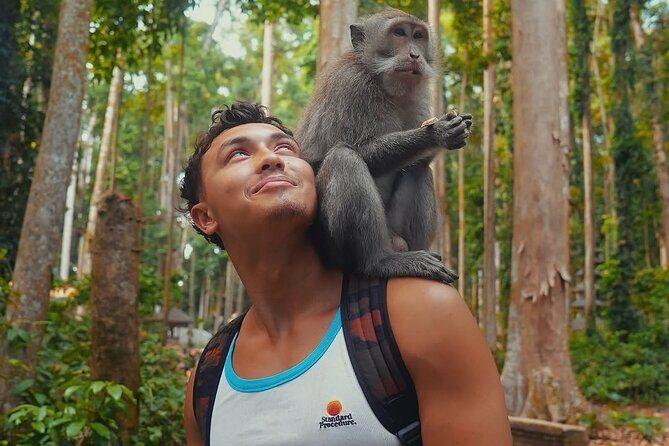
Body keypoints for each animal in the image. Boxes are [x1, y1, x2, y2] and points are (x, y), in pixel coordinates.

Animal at [295, 8, 472, 284]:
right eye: (399, 33)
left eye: (418, 36)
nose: (414, 54)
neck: (383, 82)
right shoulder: (351, 85)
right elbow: (362, 151)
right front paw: (437, 133)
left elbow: (421, 160)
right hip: (330, 248)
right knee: (343, 158)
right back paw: (378, 262)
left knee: (419, 168)